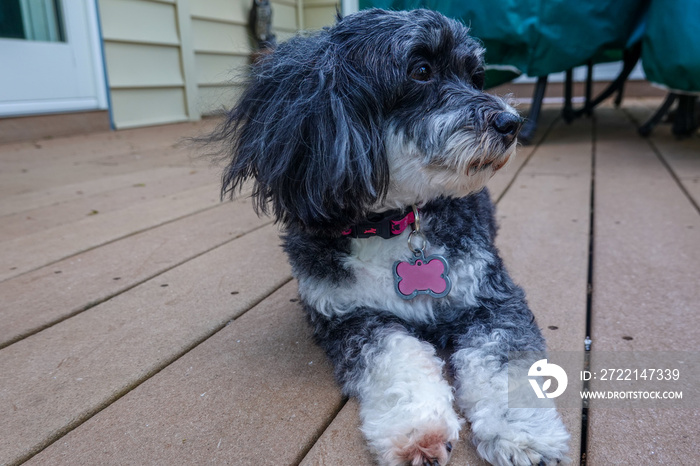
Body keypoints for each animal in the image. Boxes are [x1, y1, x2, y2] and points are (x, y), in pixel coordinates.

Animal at [206, 8, 568, 466]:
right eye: (421, 71)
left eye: (475, 76)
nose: (512, 122)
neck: (391, 223)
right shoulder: (349, 317)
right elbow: (397, 356)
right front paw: (418, 430)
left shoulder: (491, 298)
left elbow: (505, 363)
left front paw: (522, 434)